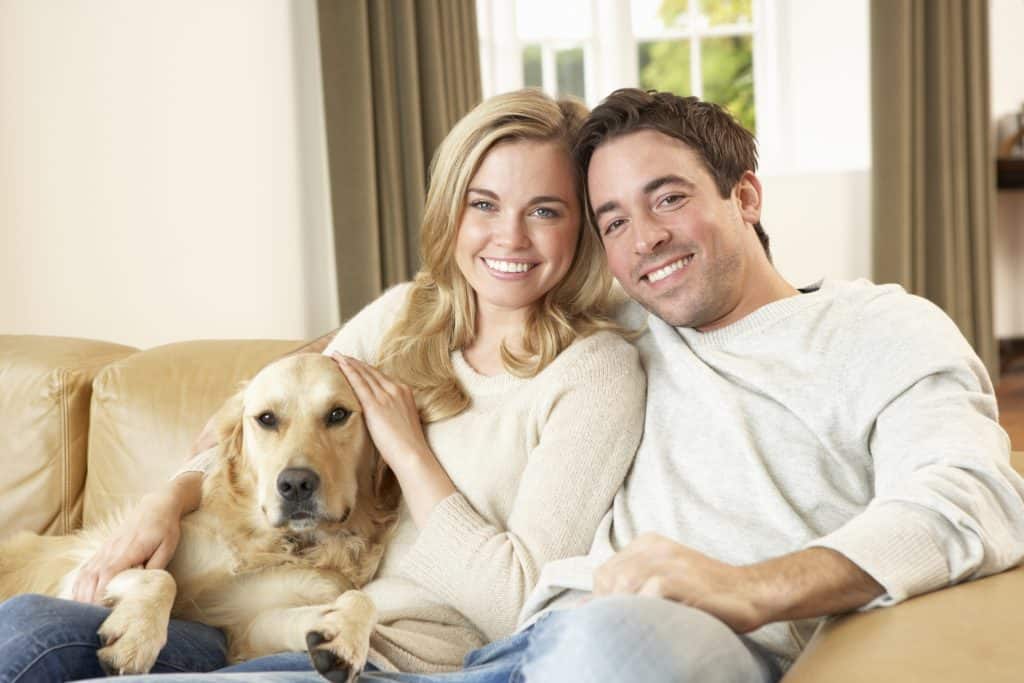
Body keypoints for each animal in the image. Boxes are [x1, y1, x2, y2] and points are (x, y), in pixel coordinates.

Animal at [0, 356, 399, 679]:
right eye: (266, 419)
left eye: (338, 414)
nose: (296, 485)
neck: (277, 541)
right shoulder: (85, 574)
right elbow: (162, 578)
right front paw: (137, 635)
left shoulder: (250, 628)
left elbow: (362, 601)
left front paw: (344, 635)